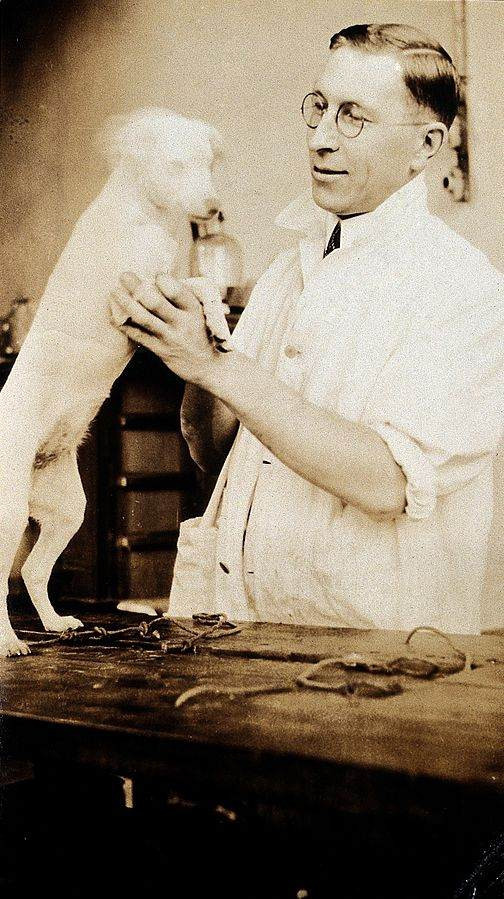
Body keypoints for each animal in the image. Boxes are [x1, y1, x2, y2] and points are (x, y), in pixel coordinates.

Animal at [0, 107, 224, 652]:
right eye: (175, 165)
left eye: (209, 164)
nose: (214, 209)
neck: (149, 215)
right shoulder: (137, 293)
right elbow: (192, 281)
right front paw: (216, 317)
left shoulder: (162, 283)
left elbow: (201, 283)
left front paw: (219, 323)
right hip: (7, 511)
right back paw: (8, 641)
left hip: (66, 510)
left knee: (33, 571)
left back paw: (55, 623)